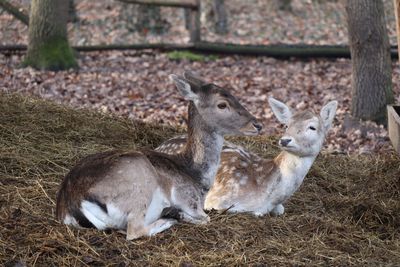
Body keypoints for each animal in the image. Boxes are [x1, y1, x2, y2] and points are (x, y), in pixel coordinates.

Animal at [56, 71, 262, 241]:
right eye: (222, 104)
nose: (258, 124)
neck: (198, 179)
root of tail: (72, 204)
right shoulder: (189, 200)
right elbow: (206, 218)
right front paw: (179, 215)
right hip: (138, 179)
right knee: (133, 231)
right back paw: (169, 218)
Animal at [156, 97, 338, 217]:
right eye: (286, 125)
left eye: (312, 127)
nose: (285, 140)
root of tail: (161, 145)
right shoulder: (218, 199)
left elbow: (280, 210)